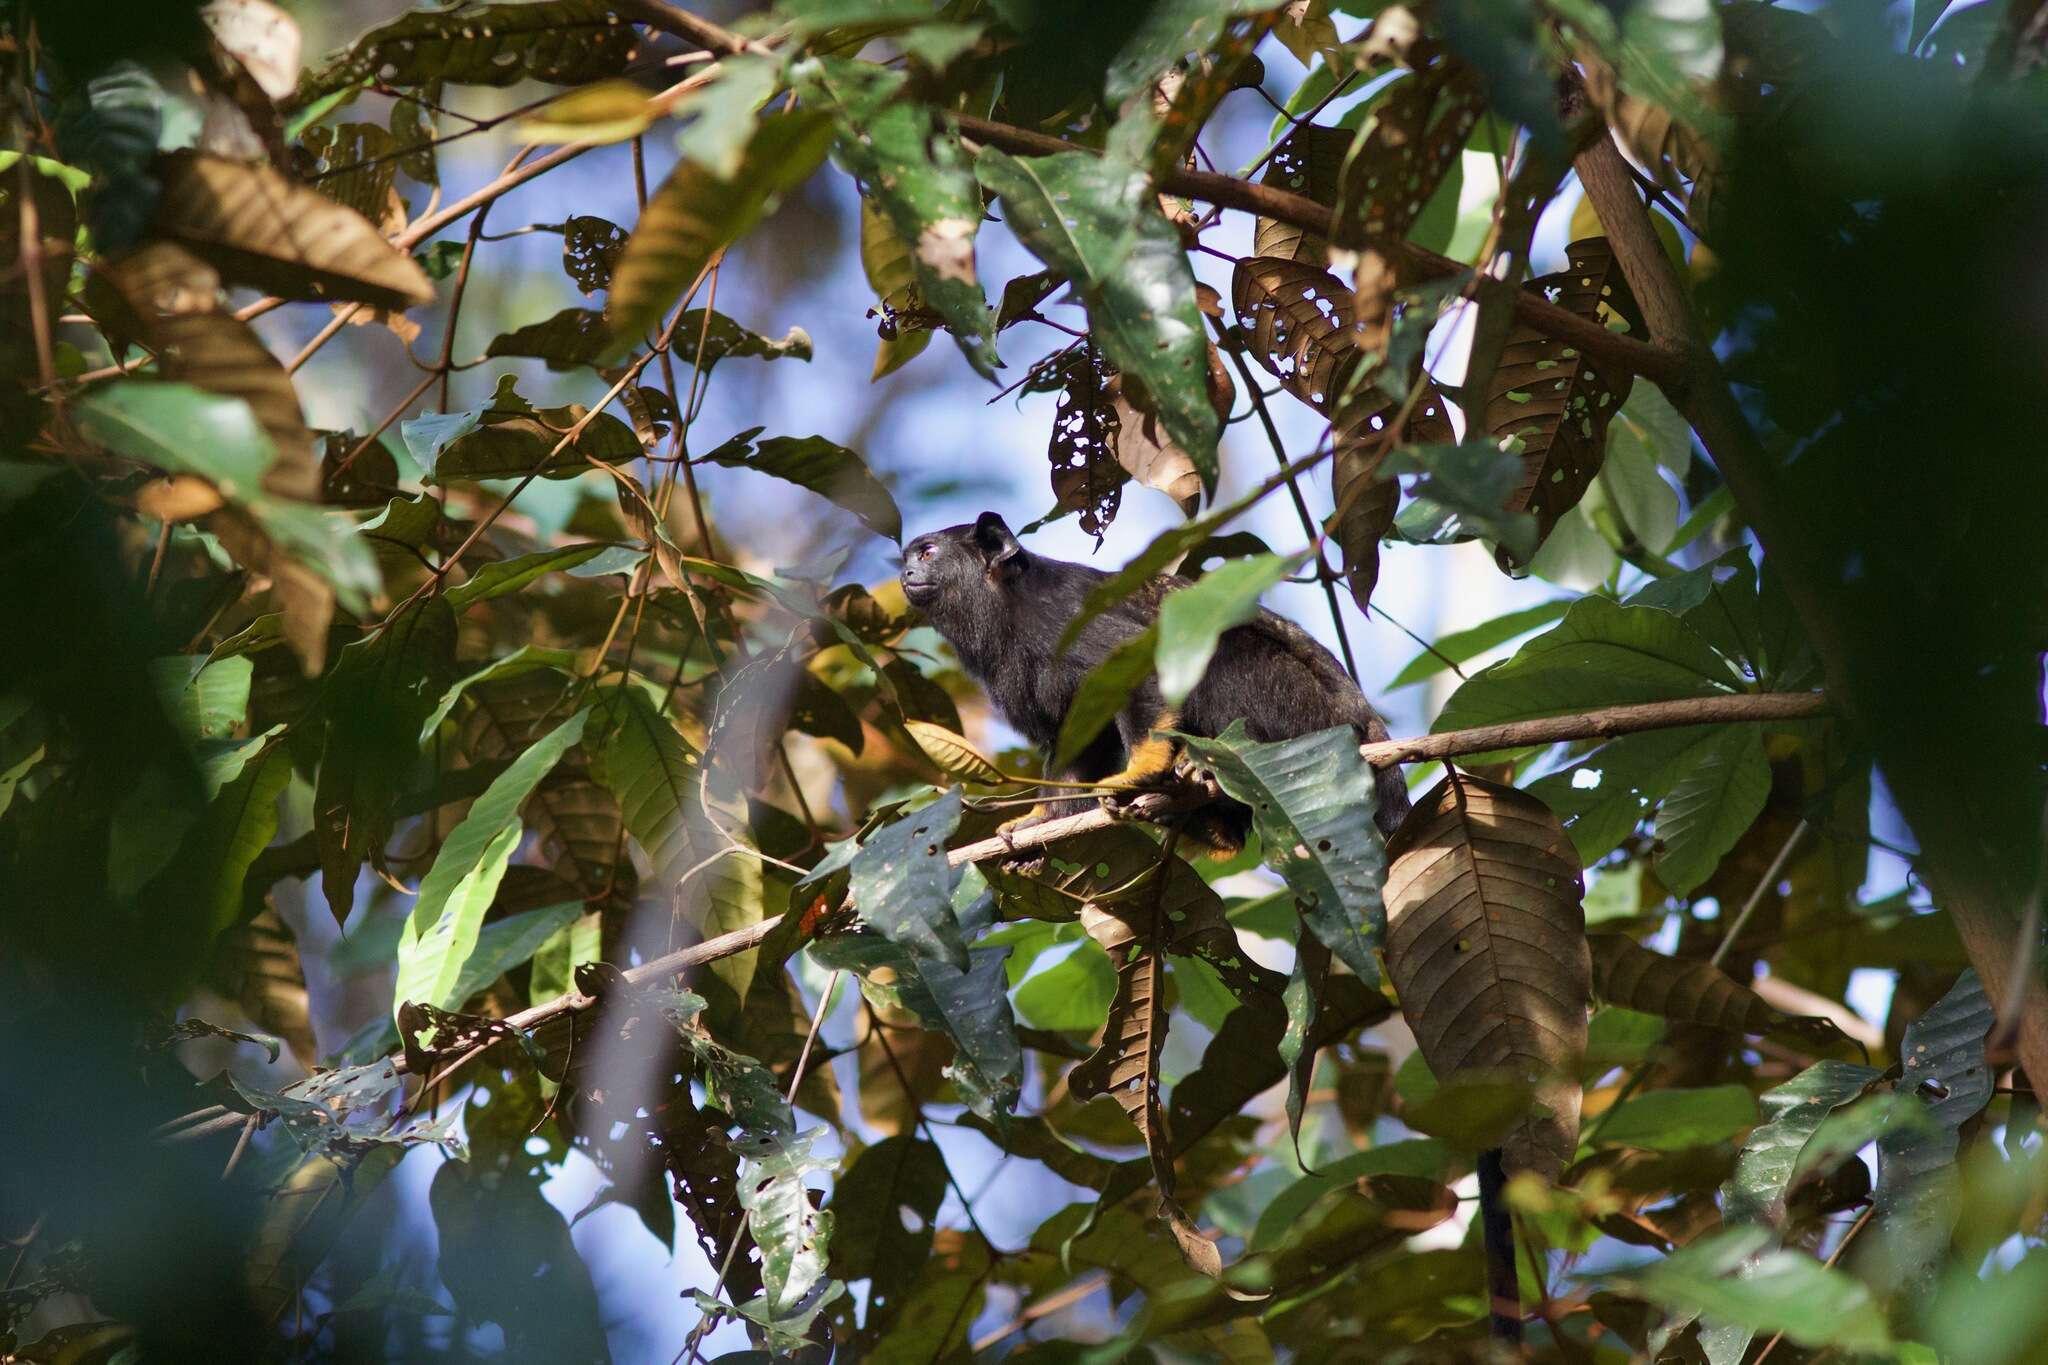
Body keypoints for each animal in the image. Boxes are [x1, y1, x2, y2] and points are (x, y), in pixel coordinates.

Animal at [905, 515, 1417, 855]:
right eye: (908, 558)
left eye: (928, 553)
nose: (907, 573)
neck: (1005, 604)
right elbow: (1077, 734)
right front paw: (1042, 820)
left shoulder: (1061, 618)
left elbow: (1136, 665)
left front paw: (1142, 771)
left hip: (1304, 709)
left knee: (1222, 650)